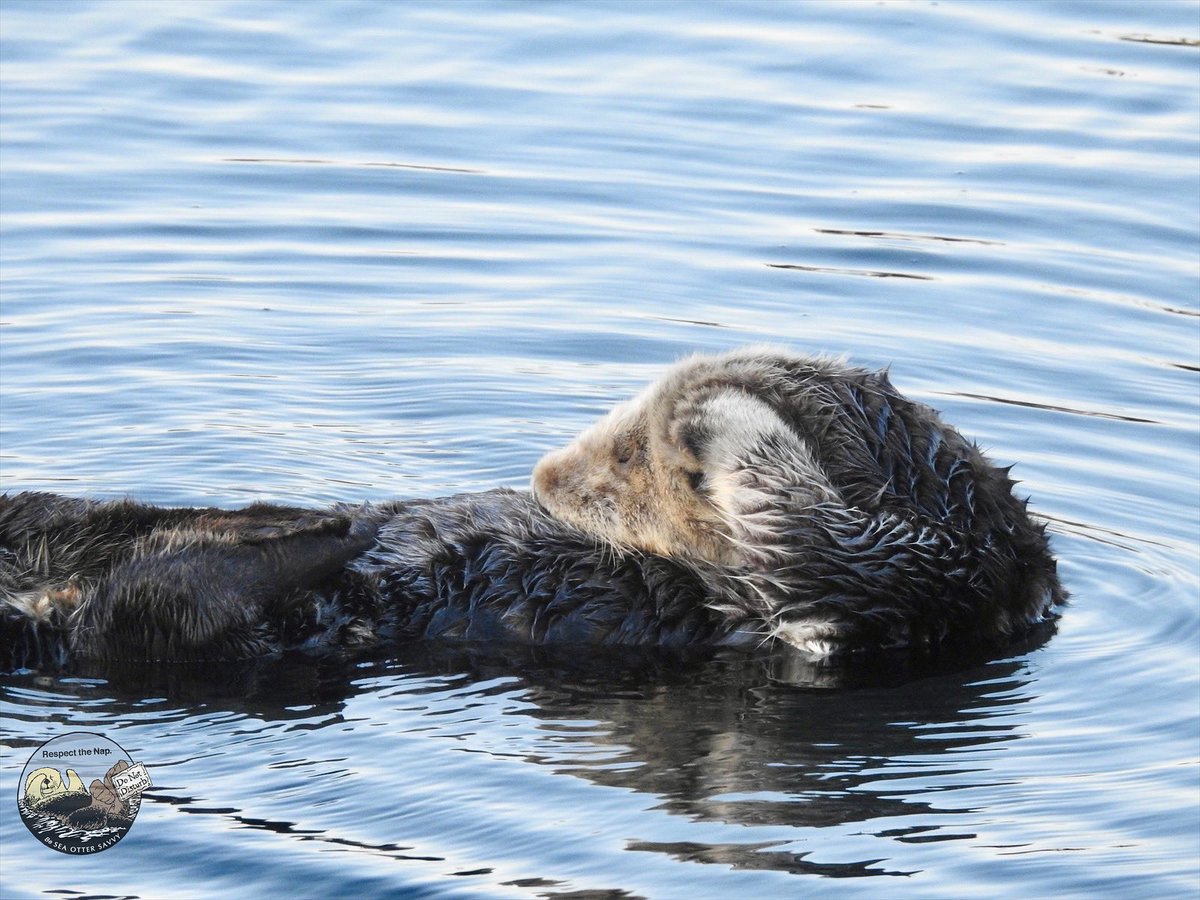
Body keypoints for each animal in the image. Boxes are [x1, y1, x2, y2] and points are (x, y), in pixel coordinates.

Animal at [0, 347, 1062, 671]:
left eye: (623, 466)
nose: (549, 472)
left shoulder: (902, 589)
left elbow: (826, 536)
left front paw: (713, 413)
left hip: (156, 626)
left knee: (156, 604)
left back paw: (299, 533)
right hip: (47, 528)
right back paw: (285, 517)